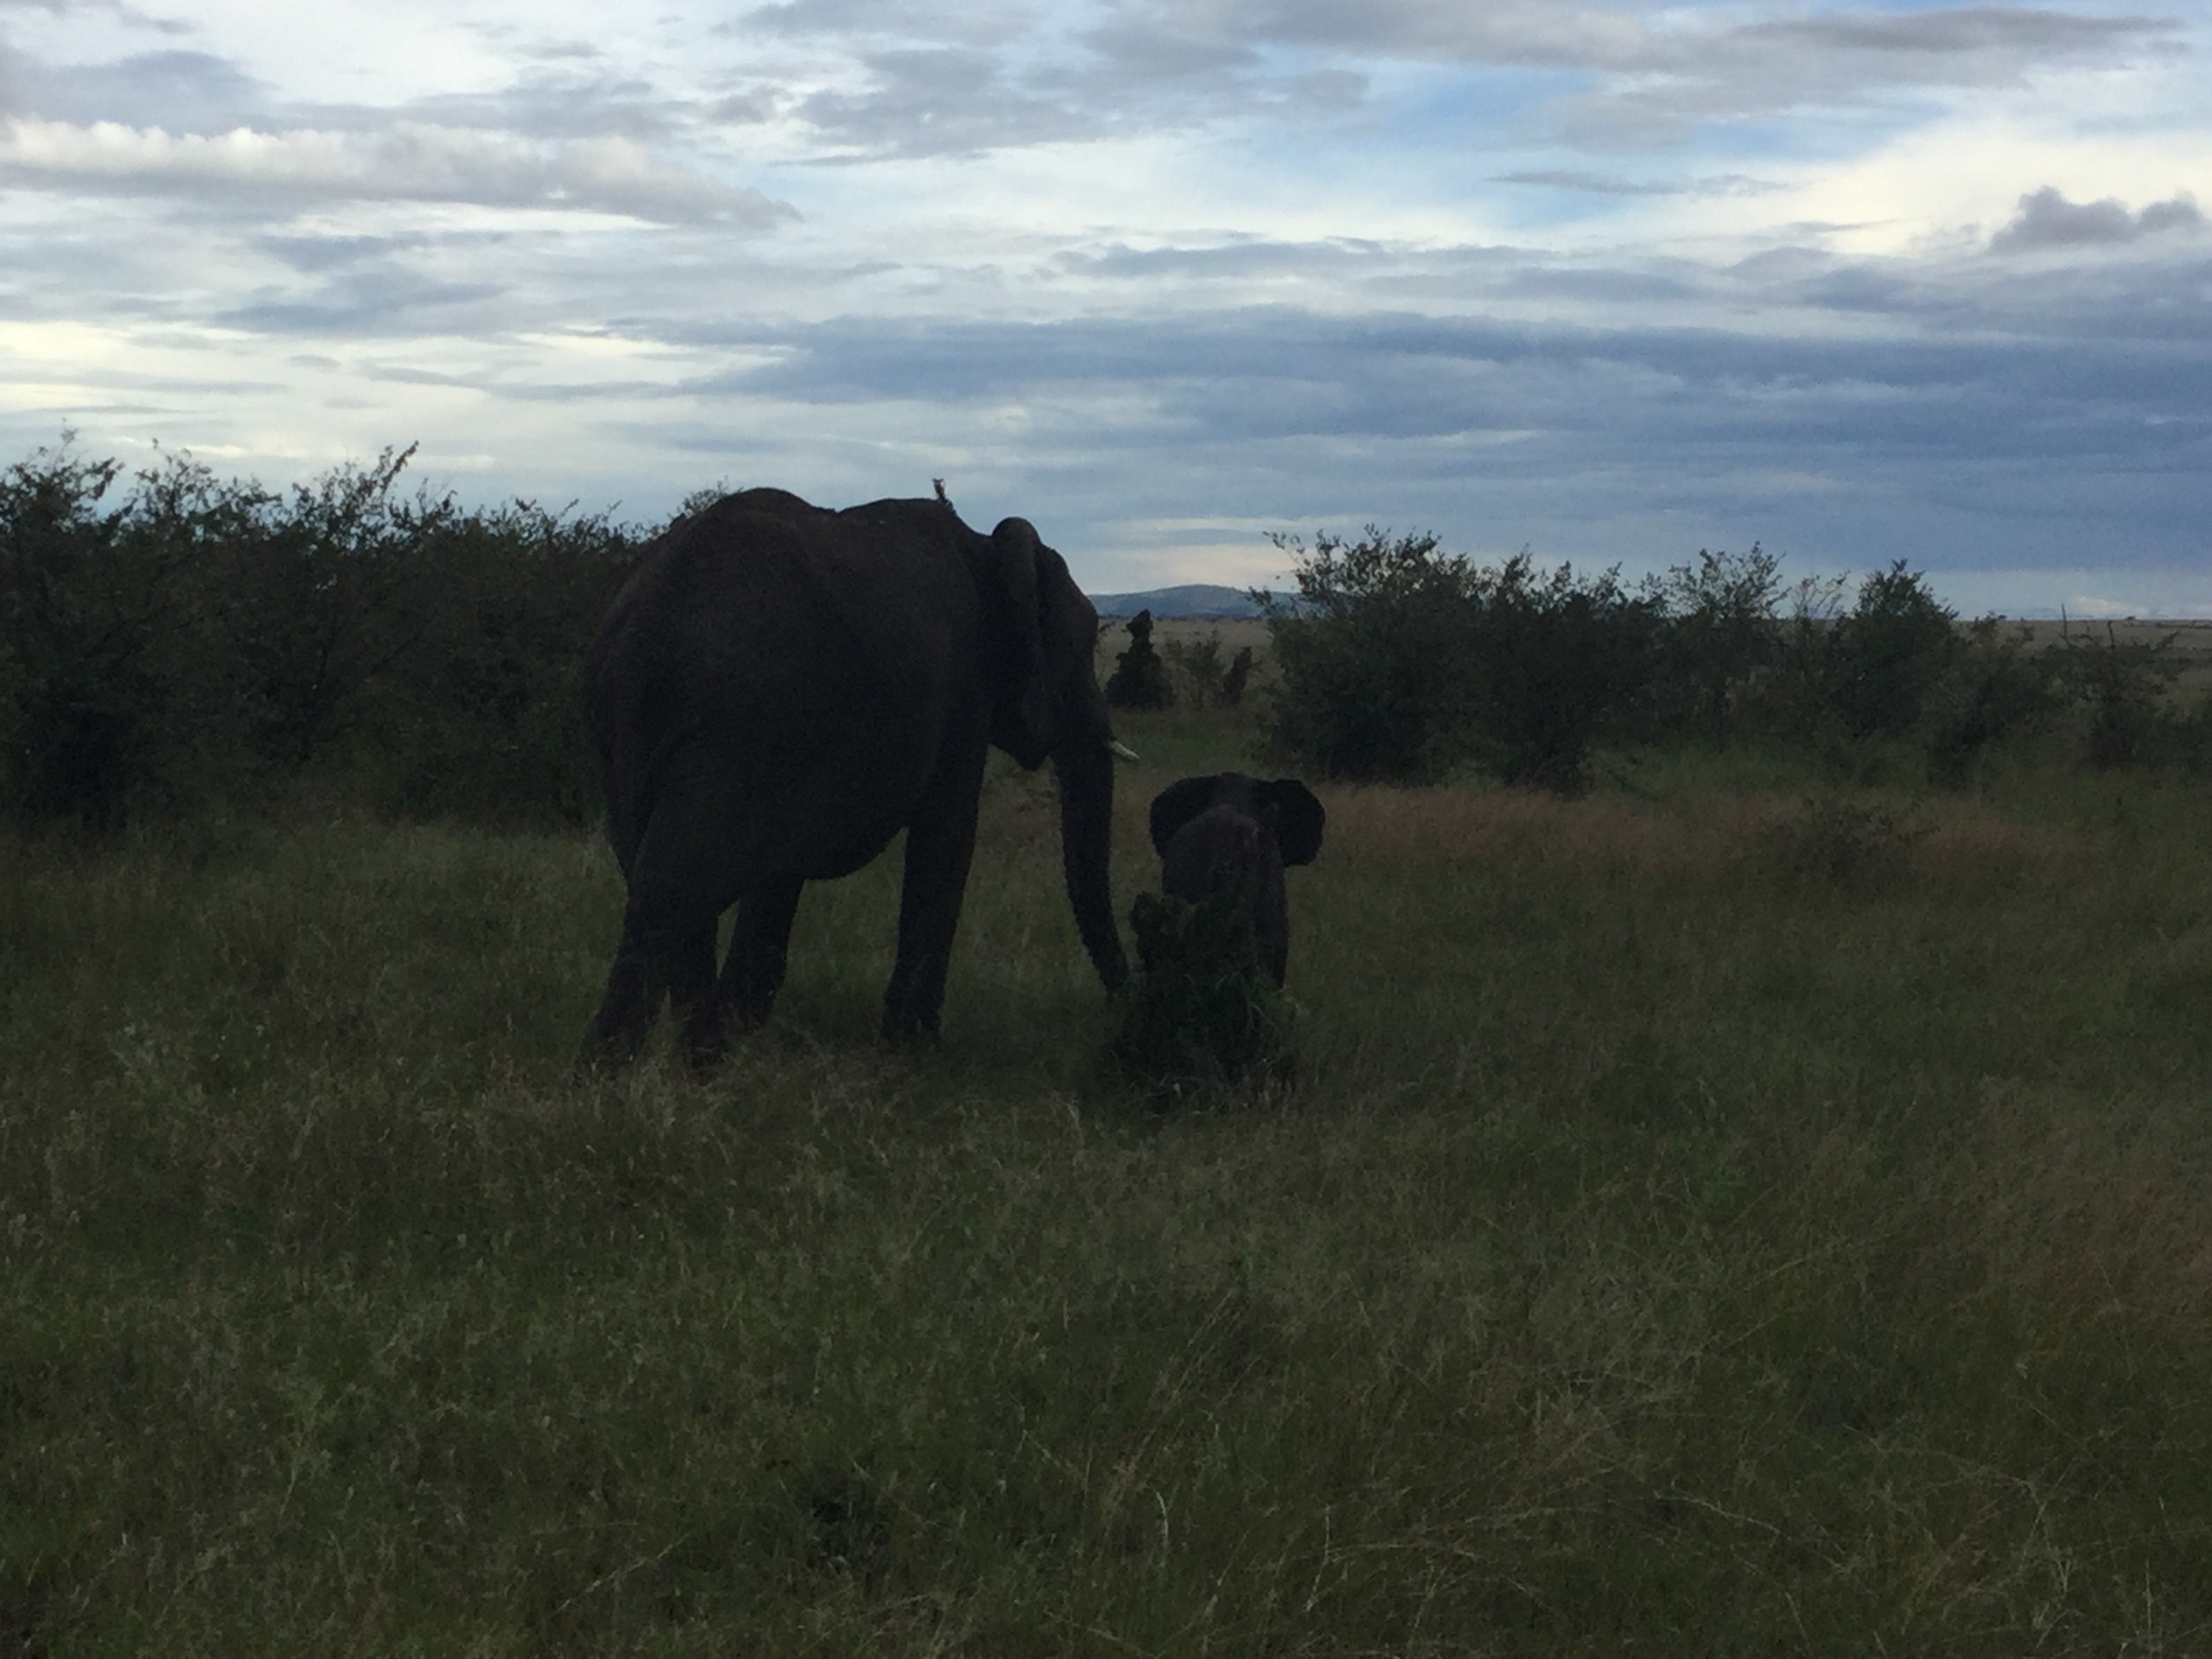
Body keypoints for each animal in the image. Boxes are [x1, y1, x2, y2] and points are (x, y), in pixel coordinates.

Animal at [579, 487, 1132, 1070]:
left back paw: (694, 1063)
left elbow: (778, 877)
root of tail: (643, 635)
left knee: (669, 884)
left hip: (631, 740)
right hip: (734, 721)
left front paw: (740, 1033)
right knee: (672, 888)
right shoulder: (963, 687)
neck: (985, 547)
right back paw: (626, 1072)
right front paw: (915, 1050)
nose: (1122, 1002)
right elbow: (949, 834)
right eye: (1082, 649)